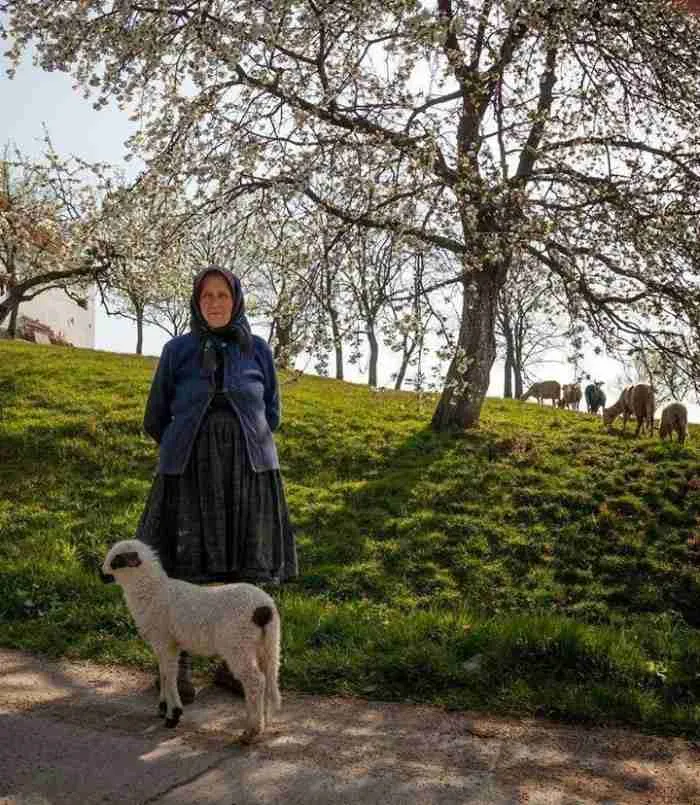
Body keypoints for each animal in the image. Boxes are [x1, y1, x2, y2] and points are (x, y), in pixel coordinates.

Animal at [101, 536, 282, 744]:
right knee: (269, 677)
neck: (152, 591)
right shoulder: (165, 643)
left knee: (255, 681)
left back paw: (251, 731)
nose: (100, 573)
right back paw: (263, 722)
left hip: (238, 644)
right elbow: (163, 672)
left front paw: (173, 715)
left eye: (117, 560)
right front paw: (163, 707)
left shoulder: (164, 640)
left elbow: (169, 675)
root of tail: (264, 608)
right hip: (267, 643)